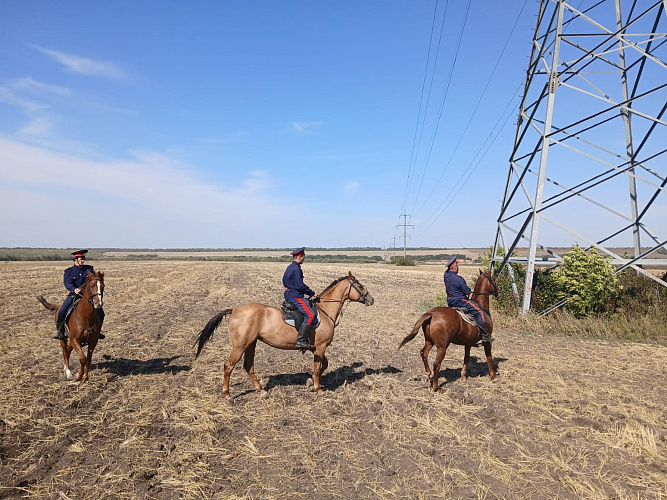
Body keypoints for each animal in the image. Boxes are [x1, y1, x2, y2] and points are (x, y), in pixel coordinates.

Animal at [194, 272, 376, 400]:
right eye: (360, 286)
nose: (371, 299)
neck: (325, 311)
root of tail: (234, 310)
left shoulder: (316, 349)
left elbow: (323, 365)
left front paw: (310, 383)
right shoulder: (320, 347)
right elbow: (318, 368)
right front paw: (317, 389)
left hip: (251, 344)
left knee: (248, 366)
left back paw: (261, 390)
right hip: (240, 346)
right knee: (228, 366)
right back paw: (227, 394)